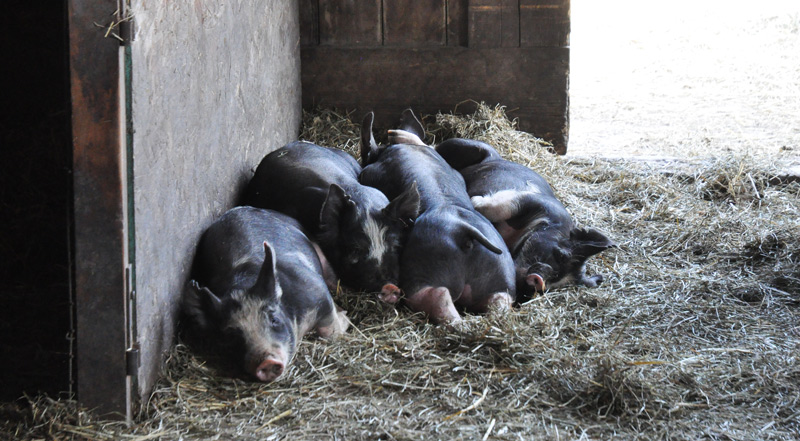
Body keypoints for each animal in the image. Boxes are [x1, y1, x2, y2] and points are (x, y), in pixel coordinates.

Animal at [184, 206, 349, 382]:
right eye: (232, 336)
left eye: (274, 319)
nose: (266, 361)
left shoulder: (317, 292)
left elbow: (330, 331)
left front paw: (345, 318)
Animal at [388, 110, 615, 300]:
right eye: (560, 254)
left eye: (558, 284)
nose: (538, 282)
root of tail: (496, 156)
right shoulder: (535, 201)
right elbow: (503, 204)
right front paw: (475, 201)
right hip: (467, 145)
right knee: (435, 148)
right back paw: (397, 135)